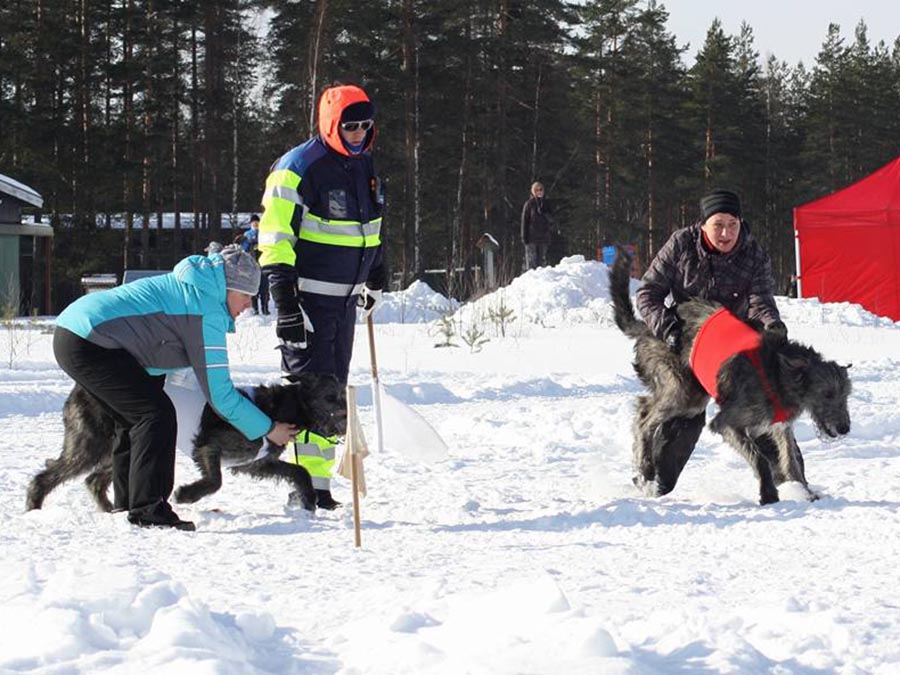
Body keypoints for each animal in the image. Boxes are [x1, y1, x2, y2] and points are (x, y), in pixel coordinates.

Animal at [23, 374, 348, 512]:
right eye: (330, 398)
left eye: (343, 395)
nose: (347, 419)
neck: (277, 407)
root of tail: (79, 389)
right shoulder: (209, 447)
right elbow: (214, 481)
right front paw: (186, 494)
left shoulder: (255, 463)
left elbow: (299, 472)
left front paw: (308, 502)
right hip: (91, 444)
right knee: (51, 473)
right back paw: (34, 507)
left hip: (118, 446)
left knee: (93, 480)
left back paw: (110, 511)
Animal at [612, 251, 852, 504]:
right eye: (826, 394)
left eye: (845, 395)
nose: (845, 428)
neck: (776, 371)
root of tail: (649, 327)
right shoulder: (728, 423)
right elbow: (759, 458)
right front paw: (769, 495)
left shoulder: (777, 425)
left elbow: (789, 458)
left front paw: (804, 492)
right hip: (684, 391)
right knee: (644, 416)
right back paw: (645, 471)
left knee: (644, 405)